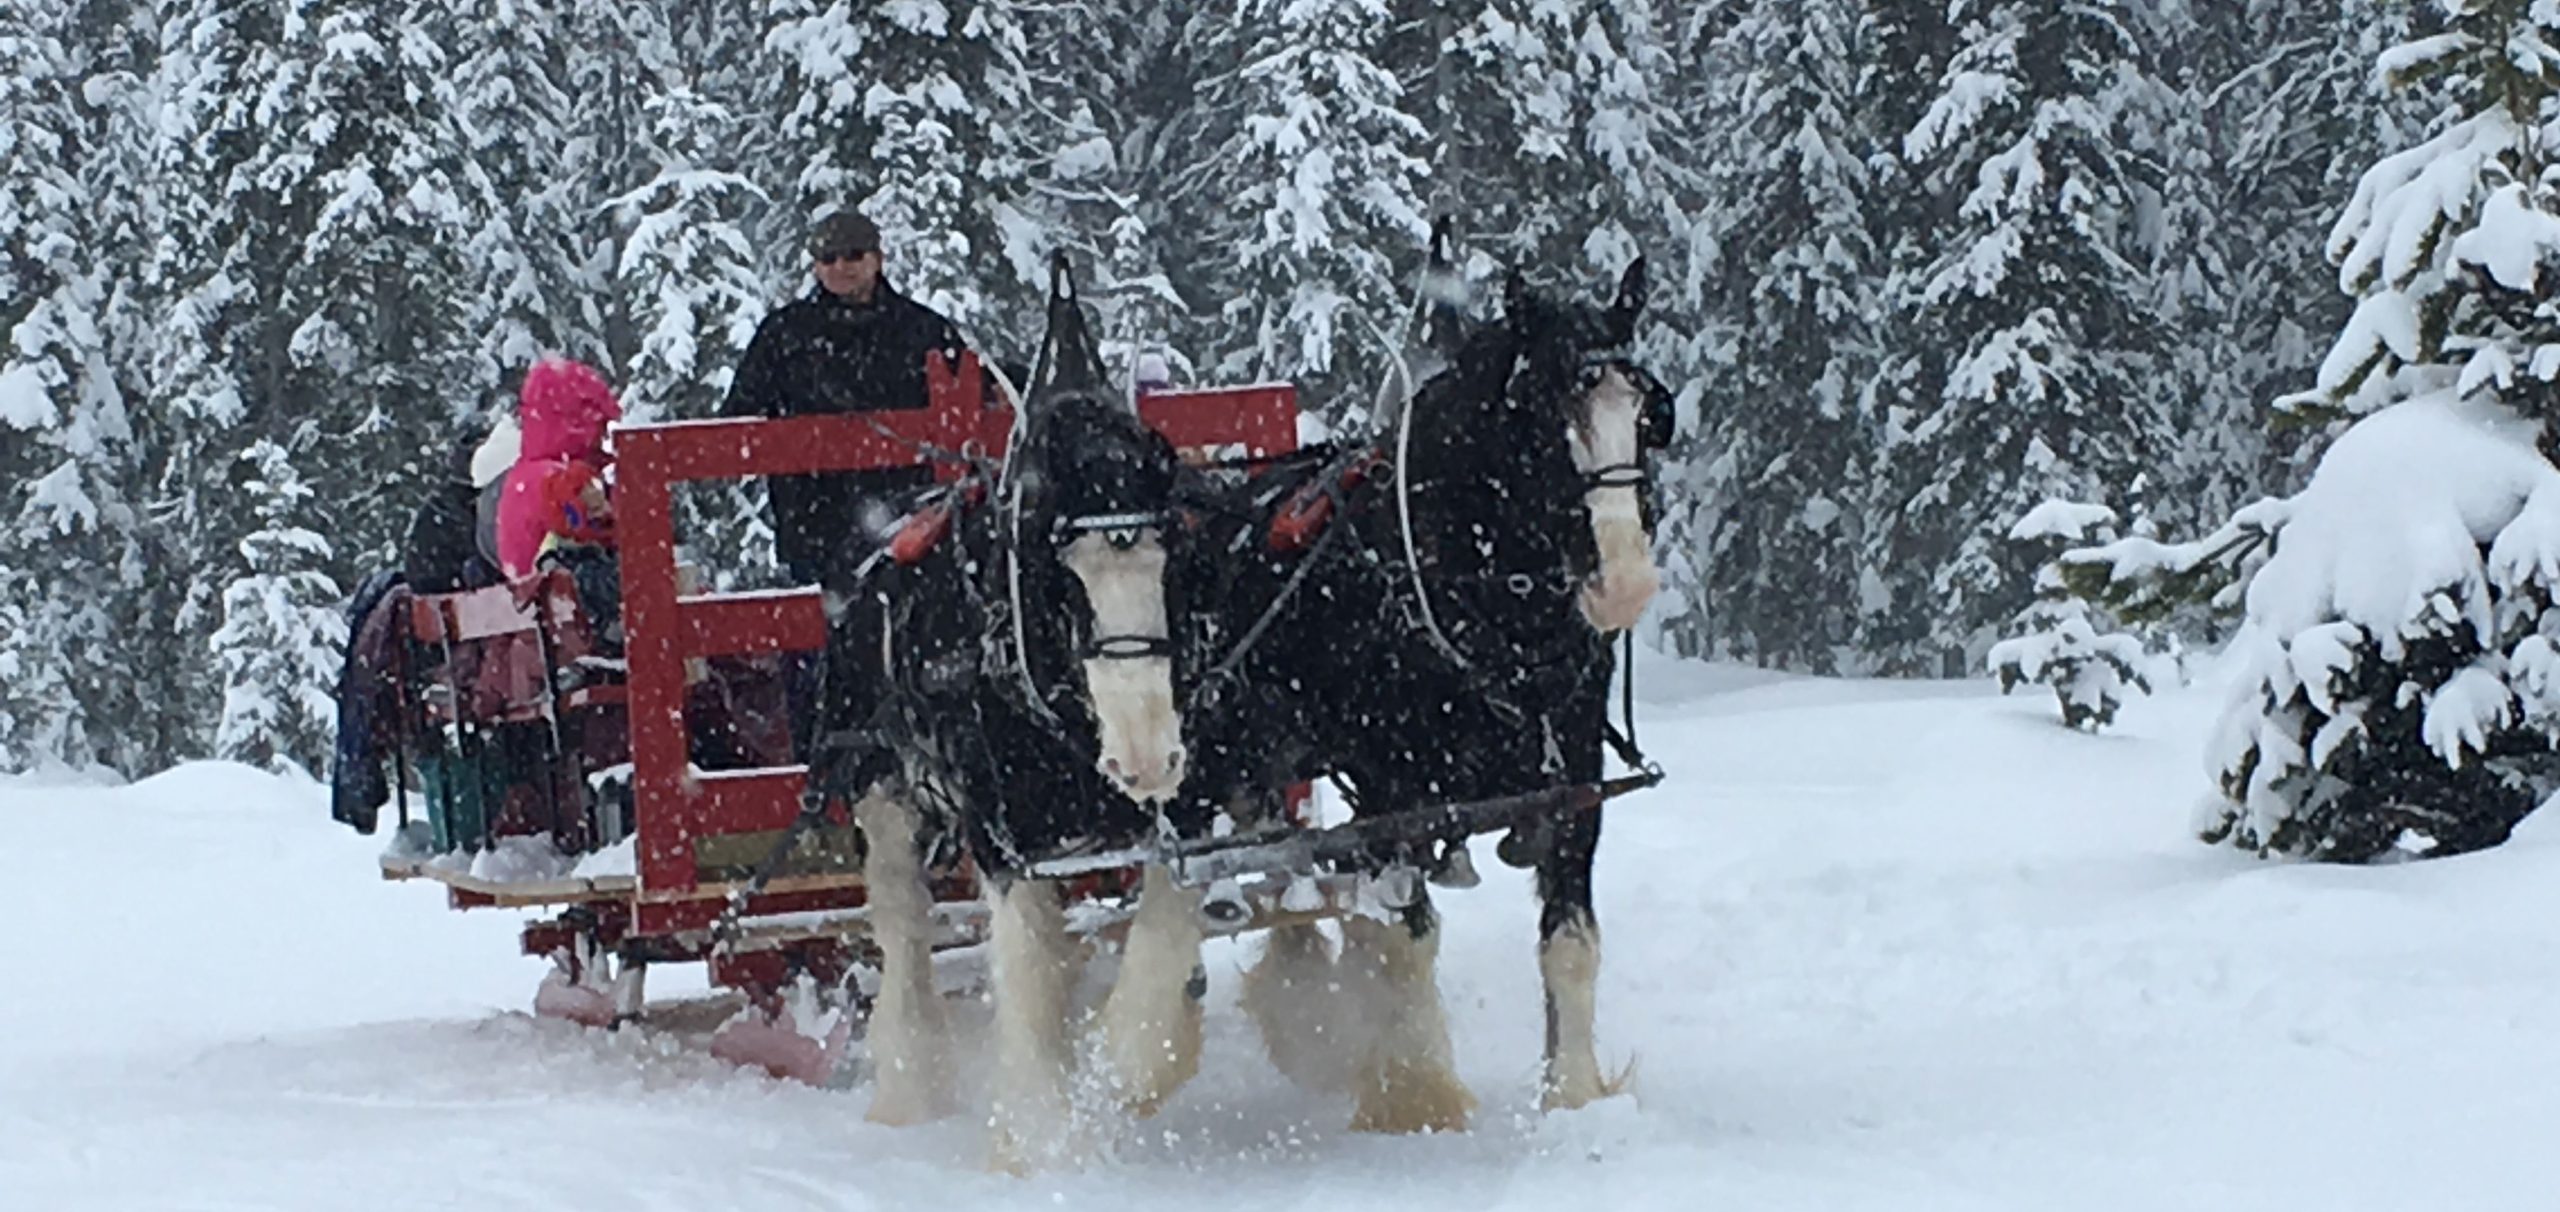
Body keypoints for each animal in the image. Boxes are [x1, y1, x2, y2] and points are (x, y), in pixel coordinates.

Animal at [824, 252, 1213, 1163]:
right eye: (1051, 568)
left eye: (1172, 551)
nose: (1145, 755)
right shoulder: (1005, 837)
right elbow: (1028, 969)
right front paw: (1034, 1135)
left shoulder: (1183, 812)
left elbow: (1164, 931)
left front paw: (1127, 1064)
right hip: (880, 792)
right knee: (903, 925)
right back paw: (910, 1082)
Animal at [1172, 257, 1669, 1132]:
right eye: (1539, 415)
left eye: (1648, 411)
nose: (1625, 584)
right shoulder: (1392, 787)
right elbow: (1406, 936)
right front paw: (1416, 1095)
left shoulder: (1575, 774)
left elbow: (1570, 943)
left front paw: (1573, 1095)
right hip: (1205, 751)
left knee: (1280, 853)